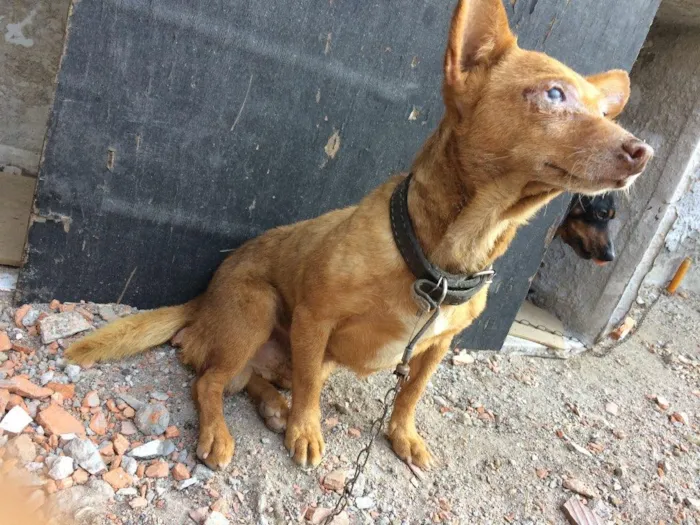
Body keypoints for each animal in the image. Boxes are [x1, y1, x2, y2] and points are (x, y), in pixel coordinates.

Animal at [68, 0, 652, 468]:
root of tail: (201, 302)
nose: (642, 151)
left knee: (258, 378)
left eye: (604, 111)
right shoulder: (314, 320)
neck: (443, 260)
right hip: (257, 308)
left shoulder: (436, 347)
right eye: (553, 94)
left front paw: (402, 436)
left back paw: (272, 406)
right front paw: (305, 431)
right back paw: (222, 432)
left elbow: (410, 395)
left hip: (297, 353)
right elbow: (310, 392)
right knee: (210, 381)